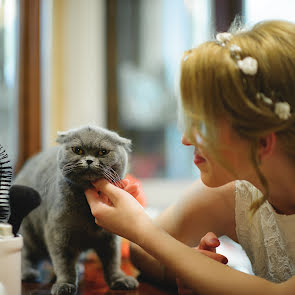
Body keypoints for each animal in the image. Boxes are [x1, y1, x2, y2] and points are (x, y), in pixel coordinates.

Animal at [13, 125, 139, 295]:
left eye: (103, 152)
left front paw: (119, 279)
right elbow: (64, 264)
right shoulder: (58, 235)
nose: (89, 160)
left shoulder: (110, 238)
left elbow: (112, 261)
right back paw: (28, 273)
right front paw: (65, 285)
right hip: (29, 232)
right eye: (77, 150)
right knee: (25, 253)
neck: (85, 207)